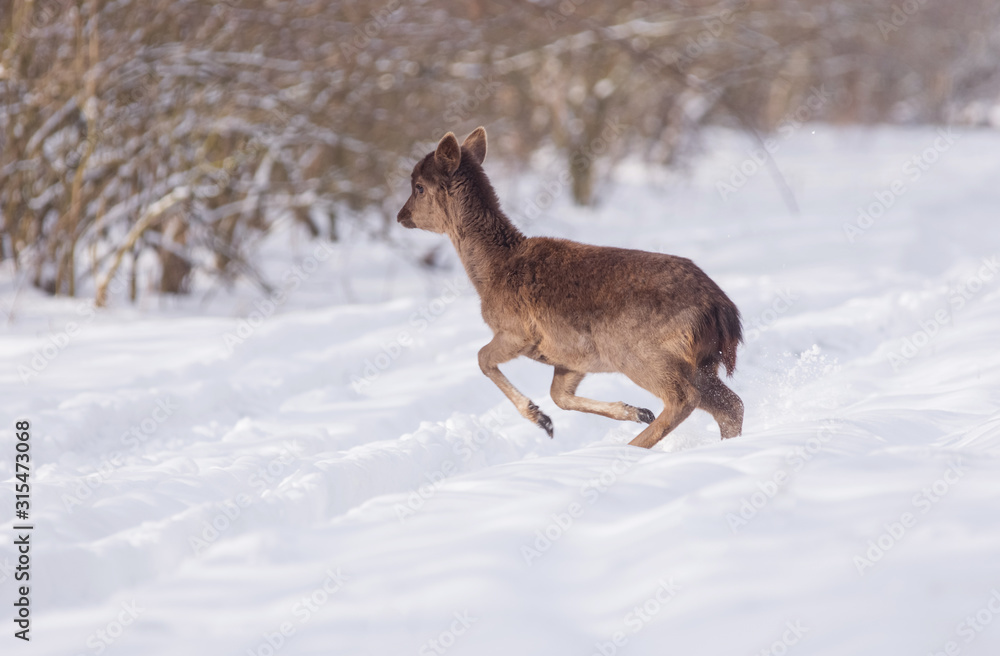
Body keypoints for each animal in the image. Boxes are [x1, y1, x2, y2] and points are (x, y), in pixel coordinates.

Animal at [396, 127, 744, 449]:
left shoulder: (518, 331)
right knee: (731, 405)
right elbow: (559, 395)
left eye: (419, 186)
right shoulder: (571, 356)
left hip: (639, 351)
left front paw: (540, 418)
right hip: (701, 361)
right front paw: (632, 411)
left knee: (685, 398)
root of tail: (723, 311)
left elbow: (482, 358)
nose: (402, 216)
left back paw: (630, 448)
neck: (491, 273)